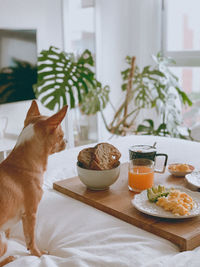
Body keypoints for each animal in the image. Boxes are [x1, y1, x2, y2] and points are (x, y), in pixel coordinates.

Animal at [0, 100, 67, 266]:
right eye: (61, 135)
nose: (67, 141)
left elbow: (11, 232)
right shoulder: (30, 214)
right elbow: (30, 239)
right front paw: (38, 254)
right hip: (1, 241)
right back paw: (10, 258)